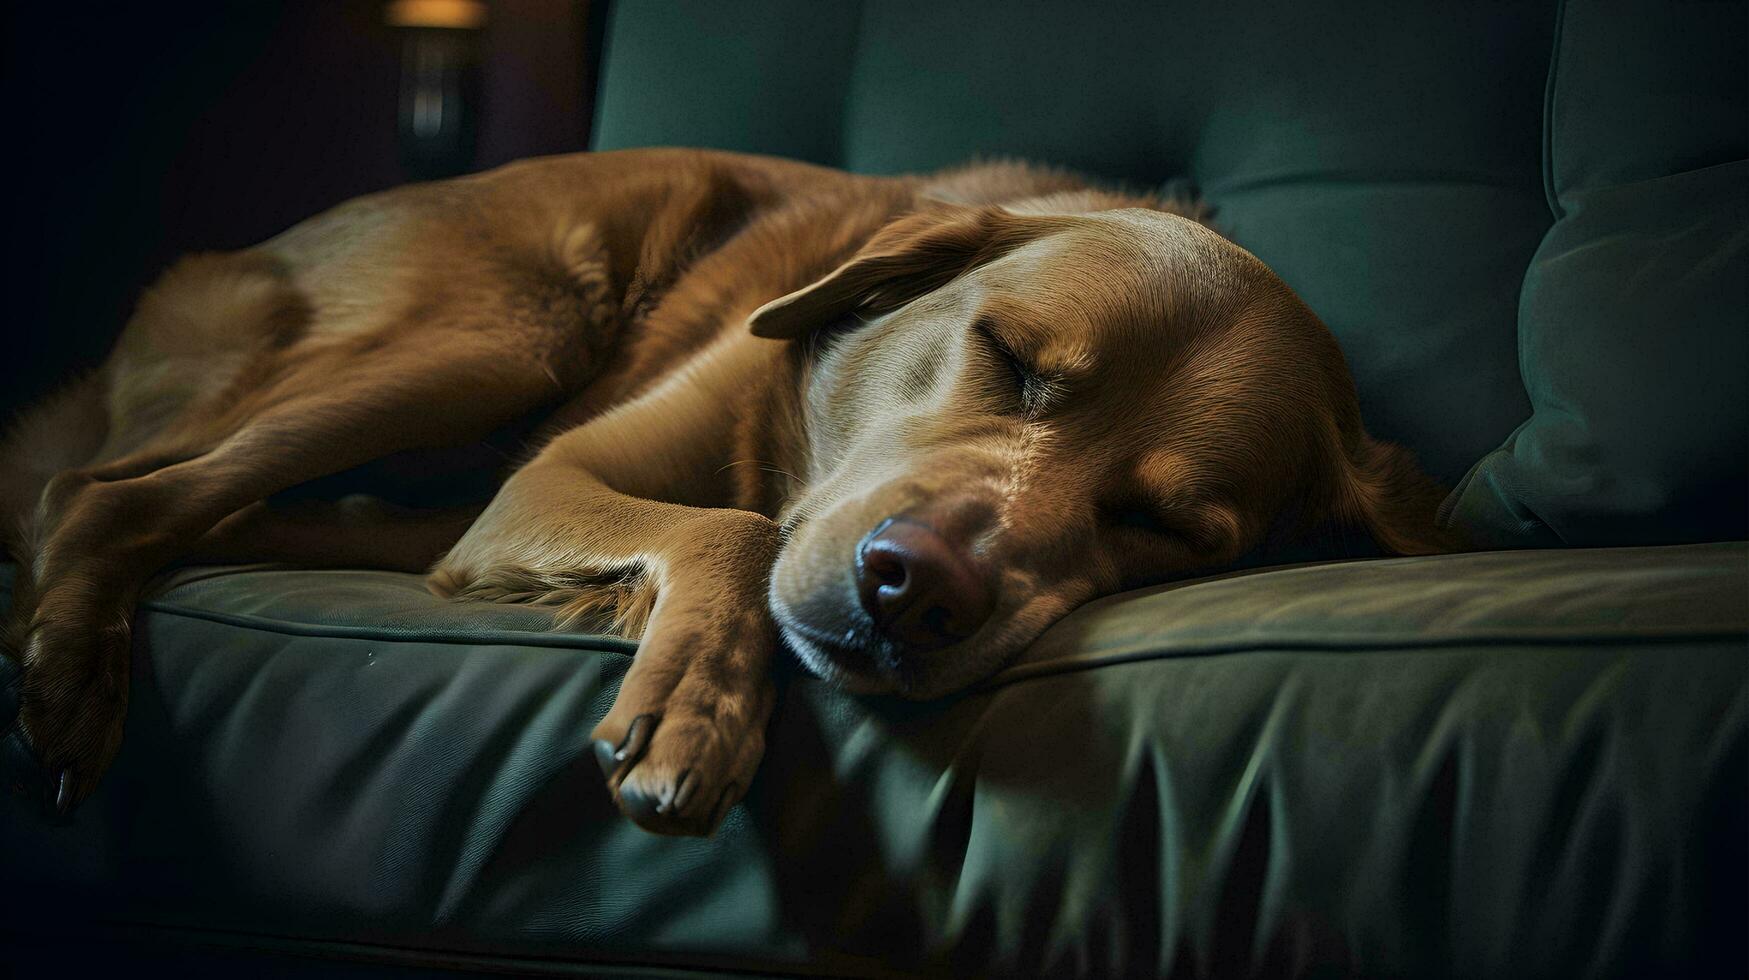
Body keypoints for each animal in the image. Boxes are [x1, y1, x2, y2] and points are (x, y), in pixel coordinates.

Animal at [0, 151, 1455, 833]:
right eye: (1008, 357)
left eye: (1165, 526)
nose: (916, 590)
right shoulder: (558, 472)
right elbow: (741, 527)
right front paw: (698, 707)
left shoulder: (512, 502)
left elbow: (737, 525)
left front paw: (696, 697)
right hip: (500, 337)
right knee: (103, 493)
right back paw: (69, 670)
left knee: (182, 509)